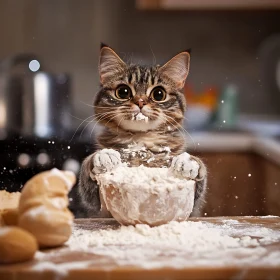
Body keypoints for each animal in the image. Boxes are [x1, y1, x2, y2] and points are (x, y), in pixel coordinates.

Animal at [77, 43, 207, 218]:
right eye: (123, 92)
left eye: (158, 94)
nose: (140, 102)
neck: (140, 143)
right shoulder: (93, 205)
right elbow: (87, 170)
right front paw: (103, 156)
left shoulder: (195, 206)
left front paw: (188, 162)